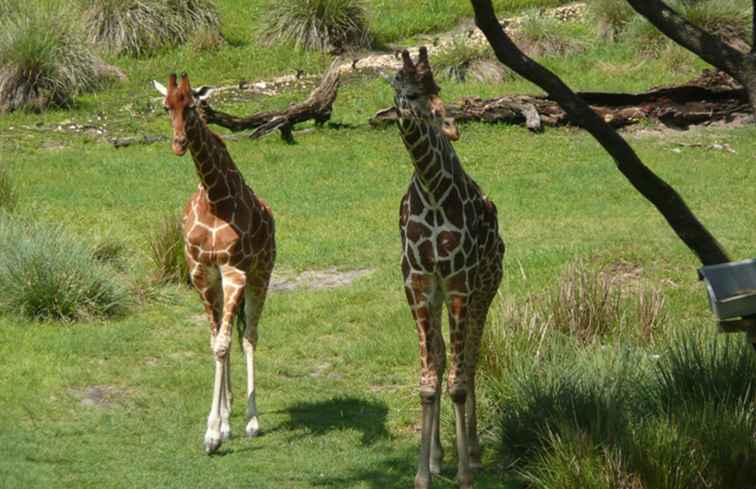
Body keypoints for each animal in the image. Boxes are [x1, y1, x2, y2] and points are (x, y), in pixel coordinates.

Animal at [153, 73, 274, 454]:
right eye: (166, 107)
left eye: (192, 105)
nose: (178, 144)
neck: (214, 198)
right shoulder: (200, 271)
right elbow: (215, 342)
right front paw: (219, 426)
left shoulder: (234, 271)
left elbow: (223, 343)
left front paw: (211, 433)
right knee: (230, 333)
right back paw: (230, 417)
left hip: (262, 272)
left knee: (249, 336)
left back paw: (251, 421)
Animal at [386, 50, 504, 488]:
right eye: (407, 91)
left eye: (437, 88)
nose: (449, 125)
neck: (433, 189)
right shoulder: (418, 282)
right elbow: (429, 377)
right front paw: (424, 472)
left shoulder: (458, 281)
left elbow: (457, 381)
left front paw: (465, 473)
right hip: (439, 294)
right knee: (442, 356)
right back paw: (439, 455)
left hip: (485, 287)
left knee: (468, 360)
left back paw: (472, 452)